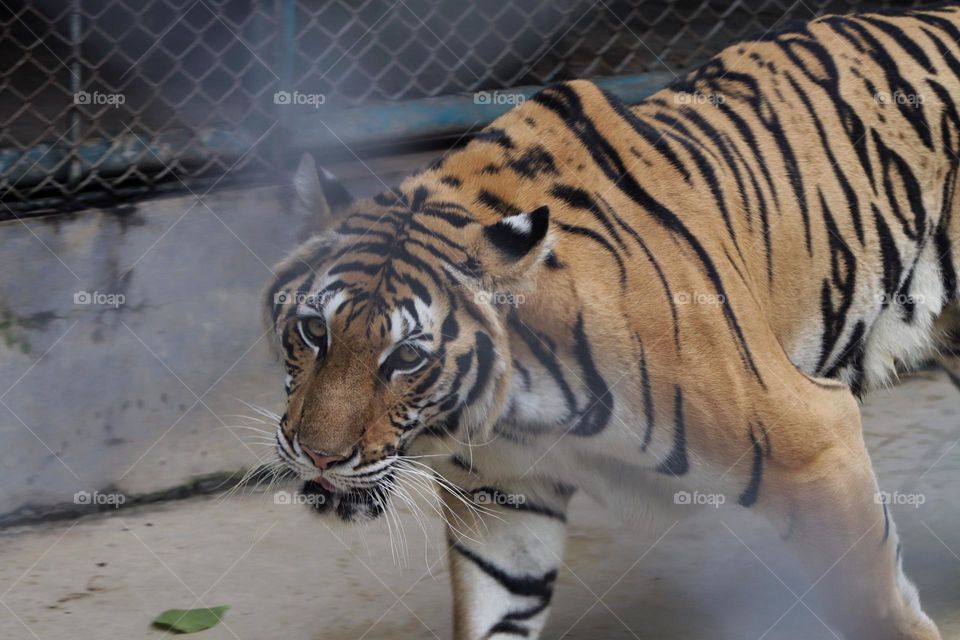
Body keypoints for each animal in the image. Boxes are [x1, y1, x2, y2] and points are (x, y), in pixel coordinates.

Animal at [262, 4, 960, 639]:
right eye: (314, 332)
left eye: (406, 356)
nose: (318, 455)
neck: (518, 408)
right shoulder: (503, 503)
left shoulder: (816, 440)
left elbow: (877, 607)